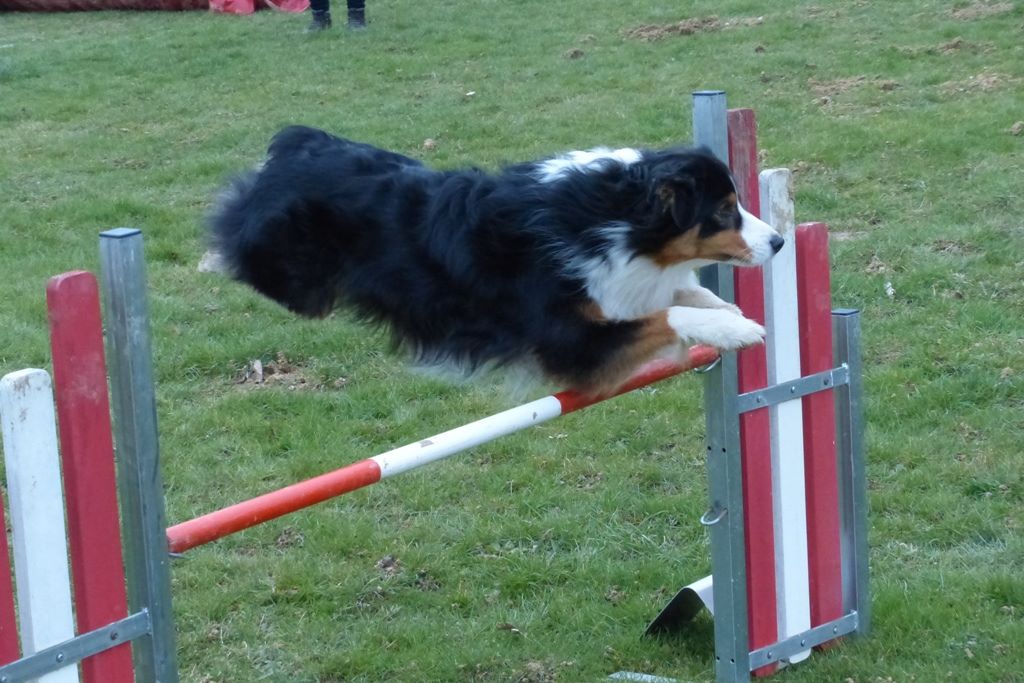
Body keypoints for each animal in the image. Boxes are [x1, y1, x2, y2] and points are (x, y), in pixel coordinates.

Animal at [207, 126, 782, 397]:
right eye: (724, 211)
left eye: (737, 203)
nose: (778, 242)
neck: (608, 215)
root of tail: (297, 142)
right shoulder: (571, 345)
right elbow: (665, 314)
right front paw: (735, 329)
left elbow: (677, 292)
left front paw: (725, 313)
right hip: (298, 279)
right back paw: (211, 258)